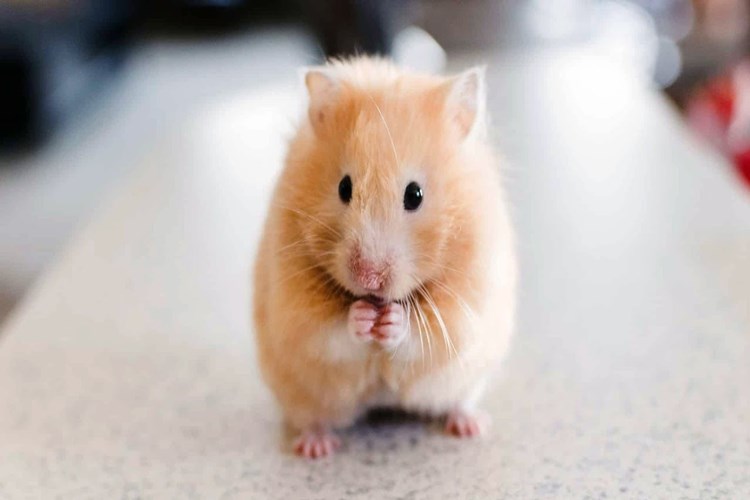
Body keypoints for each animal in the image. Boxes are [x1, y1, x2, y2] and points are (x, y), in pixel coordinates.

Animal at [253, 57, 516, 458]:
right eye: (344, 187)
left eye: (415, 194)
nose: (369, 278)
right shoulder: (294, 308)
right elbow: (329, 332)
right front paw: (362, 317)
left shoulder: (465, 305)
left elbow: (426, 335)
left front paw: (391, 320)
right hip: (297, 393)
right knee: (312, 418)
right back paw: (316, 447)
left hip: (471, 378)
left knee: (459, 401)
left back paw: (471, 426)